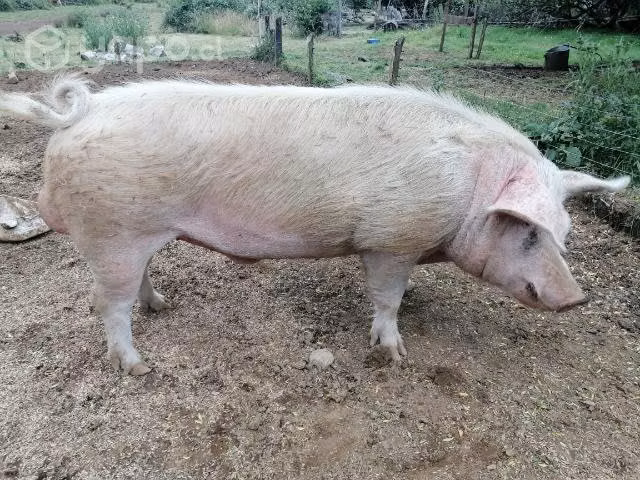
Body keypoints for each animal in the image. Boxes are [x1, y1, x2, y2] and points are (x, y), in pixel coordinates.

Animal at [0, 77, 630, 375]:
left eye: (564, 233)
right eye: (529, 232)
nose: (576, 298)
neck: (468, 194)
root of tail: (74, 115)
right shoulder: (389, 240)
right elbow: (386, 298)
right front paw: (393, 354)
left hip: (133, 237)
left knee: (134, 286)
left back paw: (161, 306)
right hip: (113, 232)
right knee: (109, 306)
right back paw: (137, 366)